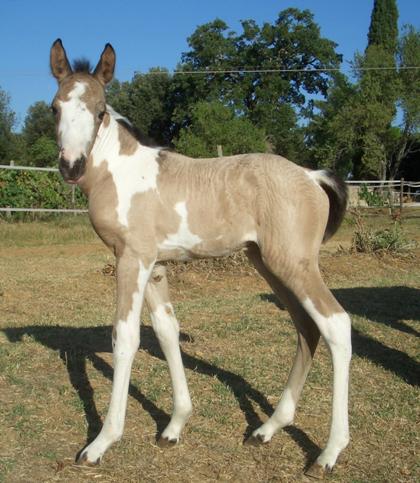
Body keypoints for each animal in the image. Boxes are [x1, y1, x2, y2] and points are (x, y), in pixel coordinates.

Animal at [48, 39, 352, 478]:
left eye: (100, 110)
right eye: (54, 107)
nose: (71, 166)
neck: (120, 173)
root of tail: (312, 176)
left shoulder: (131, 259)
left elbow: (125, 337)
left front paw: (101, 442)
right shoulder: (155, 266)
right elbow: (166, 331)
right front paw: (174, 426)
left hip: (295, 265)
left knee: (336, 325)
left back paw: (328, 454)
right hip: (270, 264)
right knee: (307, 329)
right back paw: (268, 429)